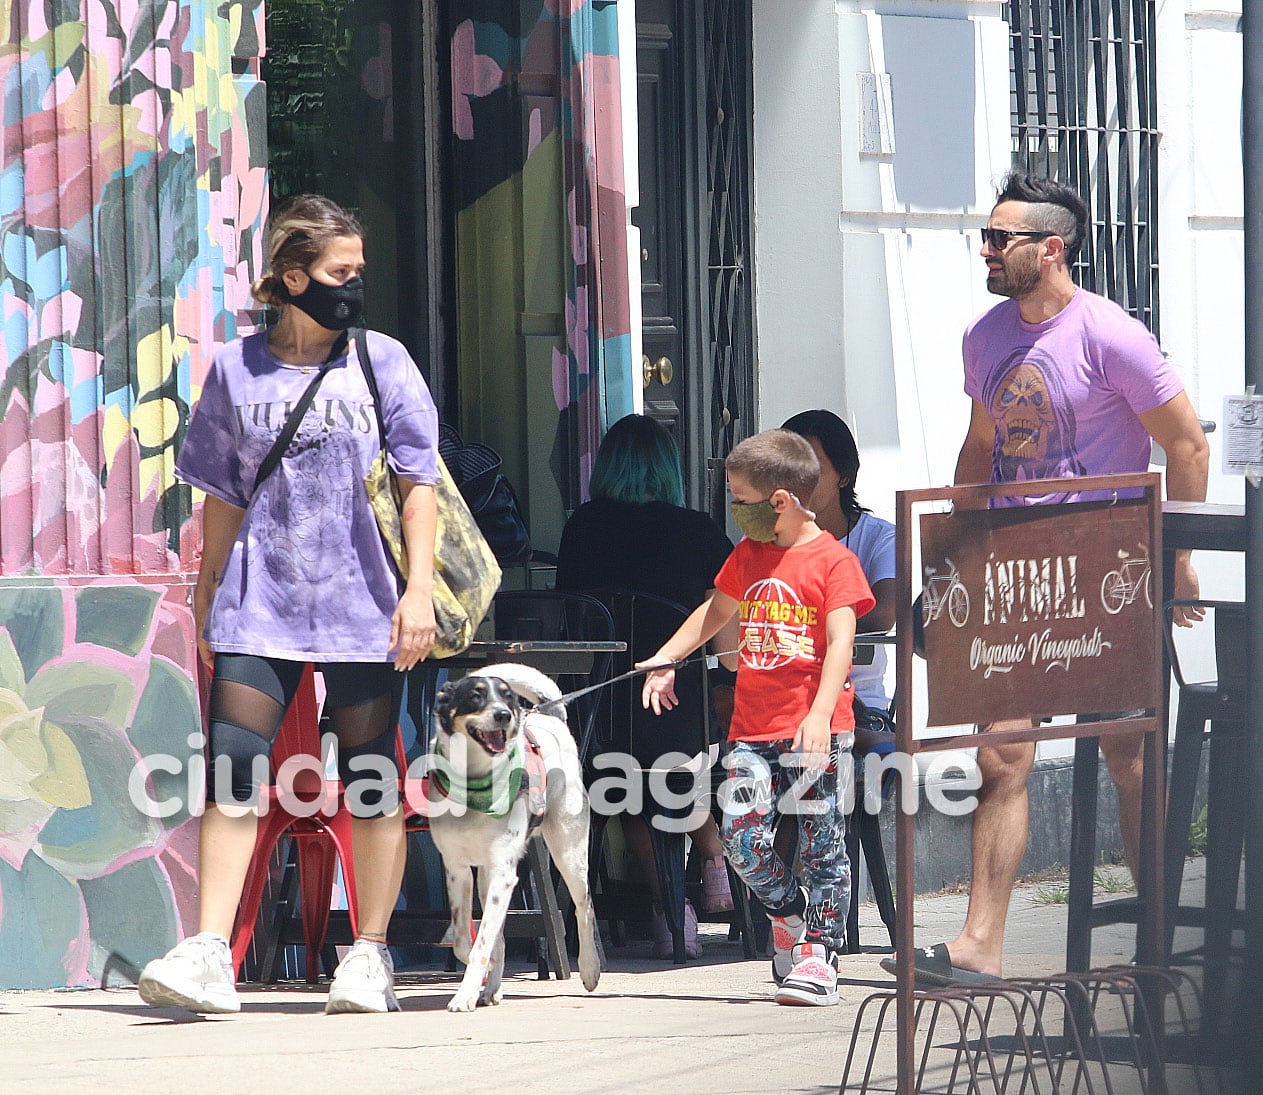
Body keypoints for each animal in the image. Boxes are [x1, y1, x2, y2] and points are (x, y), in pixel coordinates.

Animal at [429, 661, 601, 1010]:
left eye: (508, 698)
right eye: (476, 695)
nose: (504, 715)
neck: (473, 782)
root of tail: (550, 717)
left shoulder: (502, 872)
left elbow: (481, 944)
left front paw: (464, 996)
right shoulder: (458, 871)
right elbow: (467, 942)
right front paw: (483, 976)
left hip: (568, 854)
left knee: (584, 906)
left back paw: (590, 968)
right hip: (486, 879)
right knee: (499, 935)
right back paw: (492, 988)